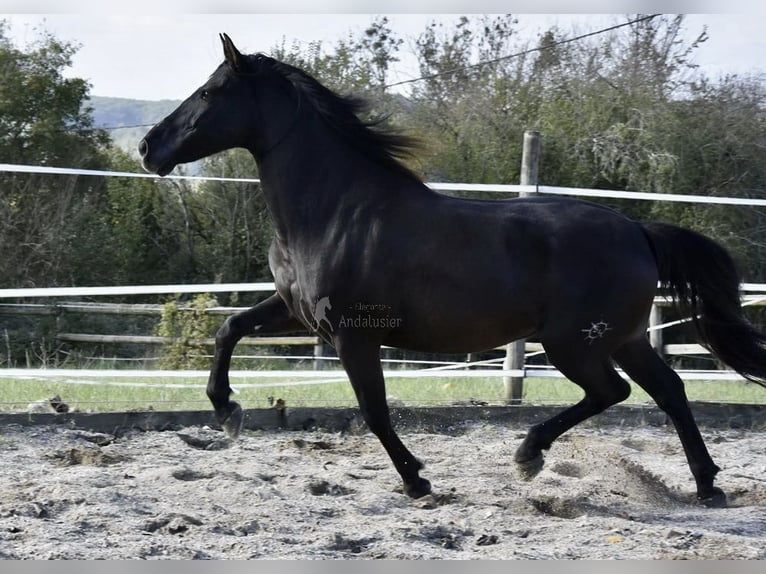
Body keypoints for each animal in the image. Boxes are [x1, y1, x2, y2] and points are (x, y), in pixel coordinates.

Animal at [140, 33, 766, 508]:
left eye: (210, 91)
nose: (149, 147)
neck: (333, 211)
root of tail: (639, 231)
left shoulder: (354, 336)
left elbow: (374, 411)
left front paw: (417, 482)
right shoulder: (299, 314)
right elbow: (229, 329)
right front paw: (227, 411)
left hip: (576, 343)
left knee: (613, 391)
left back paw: (529, 455)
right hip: (624, 338)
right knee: (669, 390)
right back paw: (707, 486)